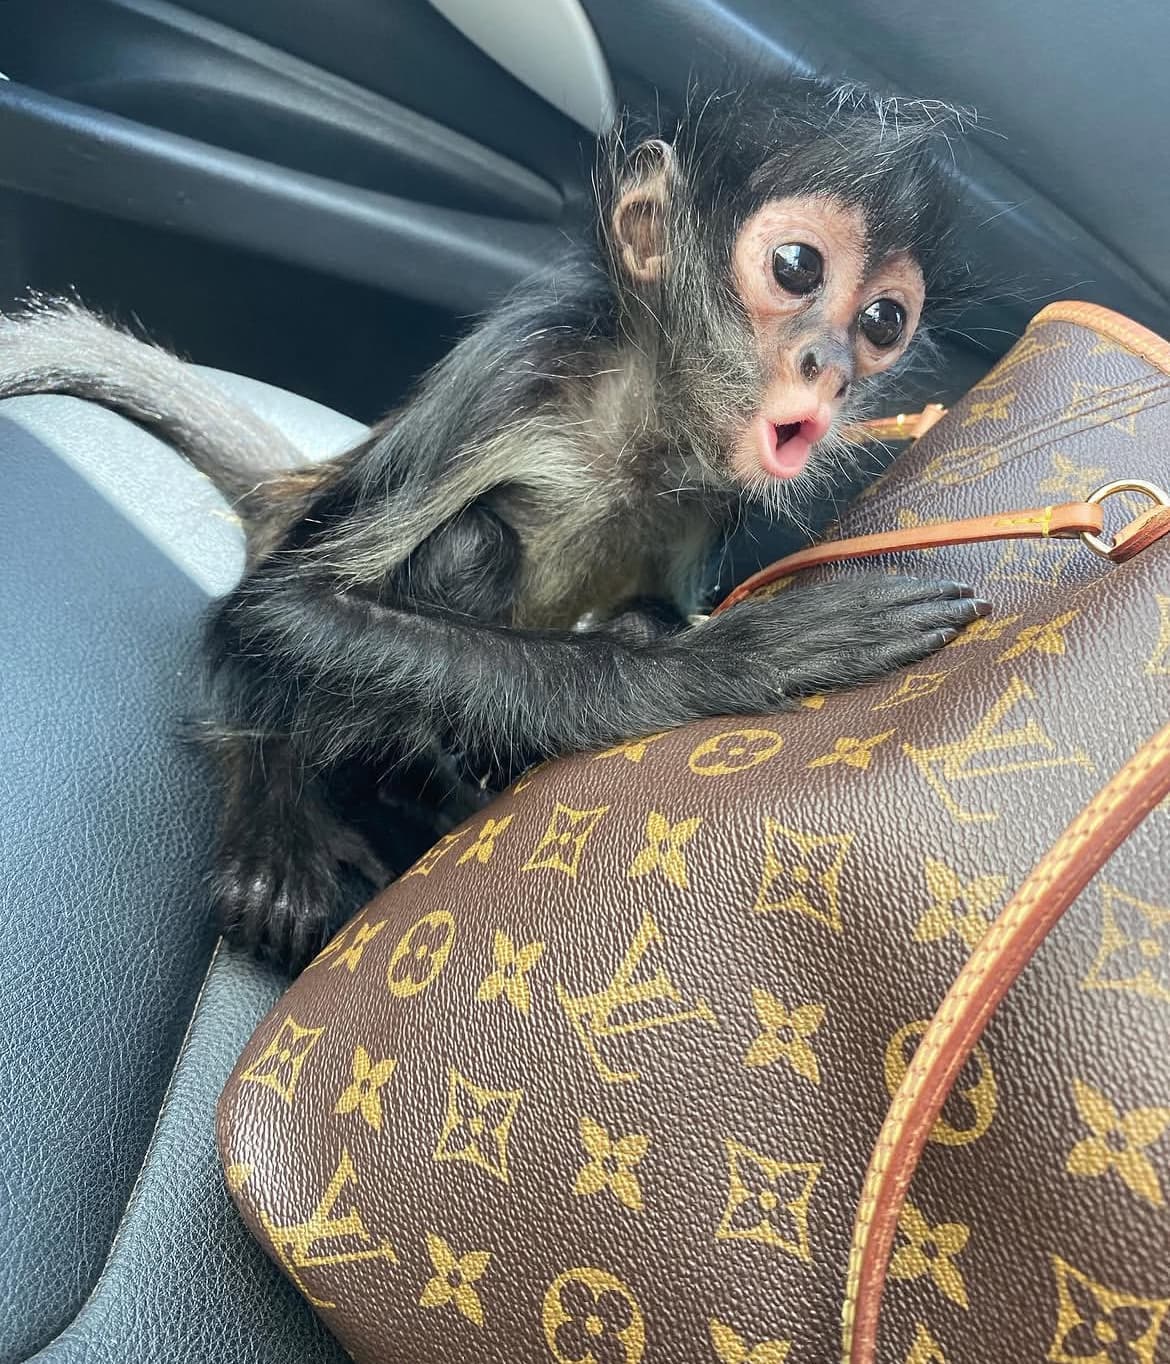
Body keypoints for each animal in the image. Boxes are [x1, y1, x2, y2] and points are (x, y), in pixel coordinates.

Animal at [0, 80, 988, 971]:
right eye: (795, 269)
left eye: (883, 320)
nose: (829, 368)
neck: (640, 425)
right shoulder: (515, 376)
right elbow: (280, 612)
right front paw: (725, 661)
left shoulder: (719, 491)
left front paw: (669, 636)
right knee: (459, 548)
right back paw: (292, 801)